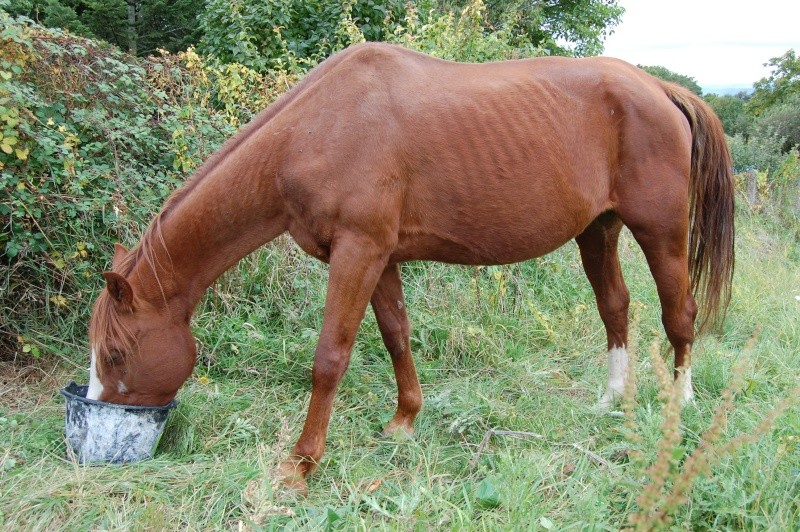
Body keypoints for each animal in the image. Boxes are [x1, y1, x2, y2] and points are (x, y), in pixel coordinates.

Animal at [86, 42, 732, 494]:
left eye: (115, 354)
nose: (105, 417)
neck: (318, 129)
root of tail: (660, 88)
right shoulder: (381, 258)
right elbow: (396, 334)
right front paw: (403, 422)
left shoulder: (359, 251)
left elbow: (330, 357)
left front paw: (300, 465)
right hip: (598, 230)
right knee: (615, 306)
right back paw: (610, 400)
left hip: (660, 232)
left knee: (680, 312)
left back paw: (682, 401)